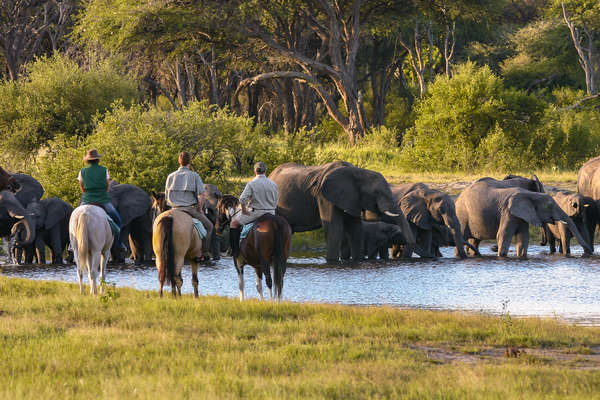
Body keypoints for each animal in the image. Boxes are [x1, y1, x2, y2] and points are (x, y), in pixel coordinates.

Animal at [268, 161, 412, 260]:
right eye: (377, 193)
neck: (357, 172)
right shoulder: (325, 197)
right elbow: (334, 228)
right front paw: (332, 261)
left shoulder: (353, 198)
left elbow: (355, 229)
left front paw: (357, 260)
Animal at [458, 177, 592, 256]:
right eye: (549, 206)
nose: (589, 252)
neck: (529, 194)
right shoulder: (508, 212)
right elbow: (503, 235)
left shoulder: (522, 215)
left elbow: (523, 238)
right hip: (462, 215)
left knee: (474, 240)